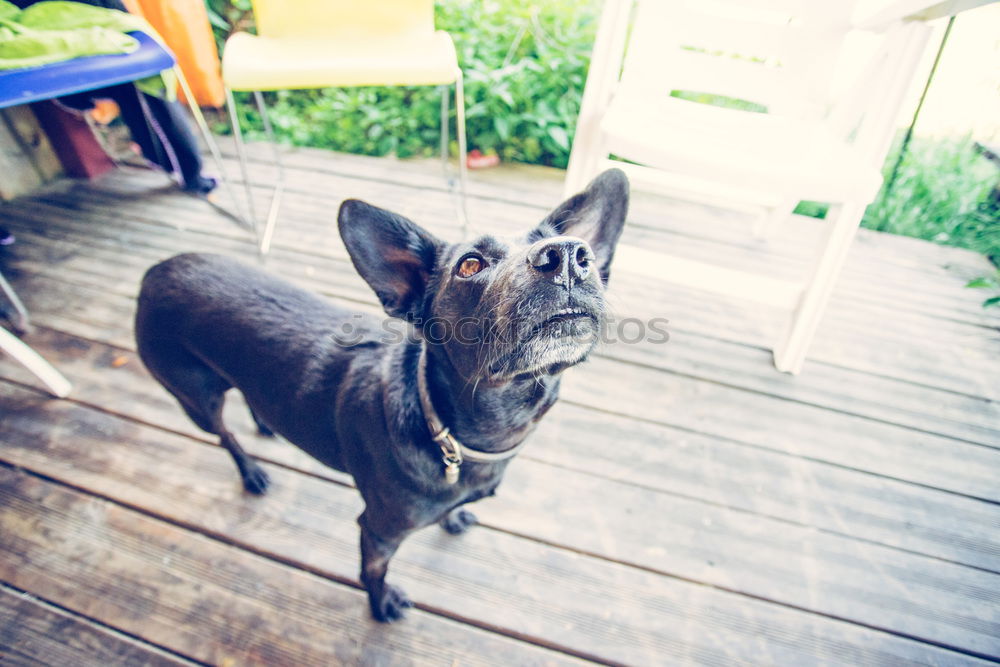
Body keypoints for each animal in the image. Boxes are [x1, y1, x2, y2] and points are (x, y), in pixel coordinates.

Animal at [137, 170, 628, 624]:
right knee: (224, 434)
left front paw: (451, 517)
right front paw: (381, 604)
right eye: (470, 265)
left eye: (570, 244)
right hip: (195, 398)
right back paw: (251, 472)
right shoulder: (377, 531)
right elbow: (372, 573)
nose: (568, 256)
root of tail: (155, 270)